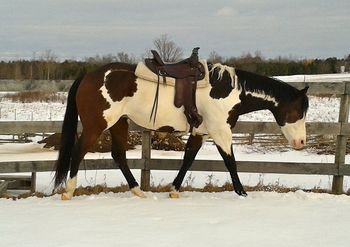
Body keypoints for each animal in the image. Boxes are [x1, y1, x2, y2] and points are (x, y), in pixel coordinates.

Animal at [53, 61, 308, 199]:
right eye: (298, 111)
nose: (301, 143)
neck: (228, 89)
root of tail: (88, 75)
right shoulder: (220, 131)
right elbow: (231, 162)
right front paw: (242, 193)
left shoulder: (199, 133)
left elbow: (188, 159)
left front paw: (174, 190)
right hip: (97, 126)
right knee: (78, 152)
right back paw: (69, 191)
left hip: (119, 123)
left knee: (119, 155)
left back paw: (138, 191)